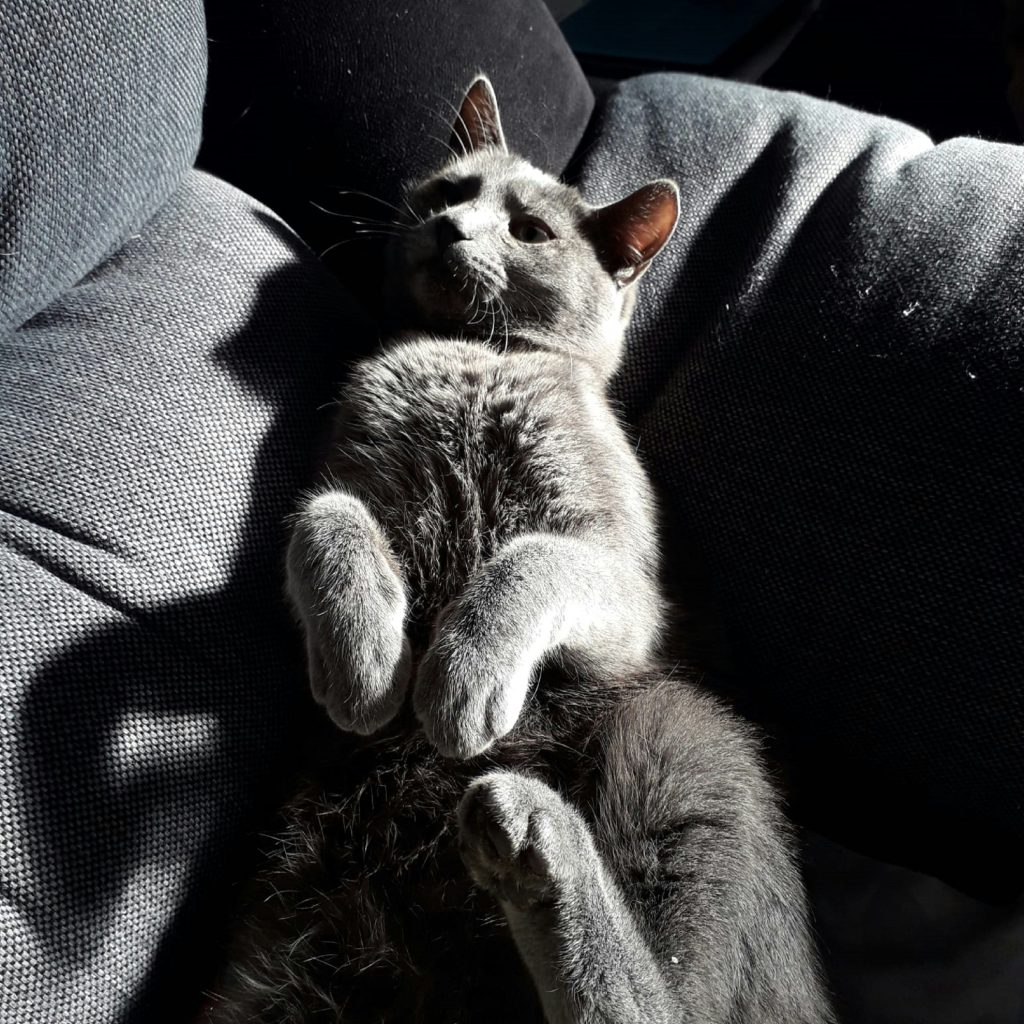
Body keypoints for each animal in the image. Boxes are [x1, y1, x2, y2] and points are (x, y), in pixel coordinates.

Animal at [205, 75, 831, 1019]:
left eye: (531, 231)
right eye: (452, 190)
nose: (451, 228)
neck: (474, 359)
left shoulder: (627, 588)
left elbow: (531, 562)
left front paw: (456, 681)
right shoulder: (343, 476)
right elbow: (328, 521)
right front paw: (364, 666)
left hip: (678, 729)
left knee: (664, 1001)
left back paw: (532, 840)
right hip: (260, 963)